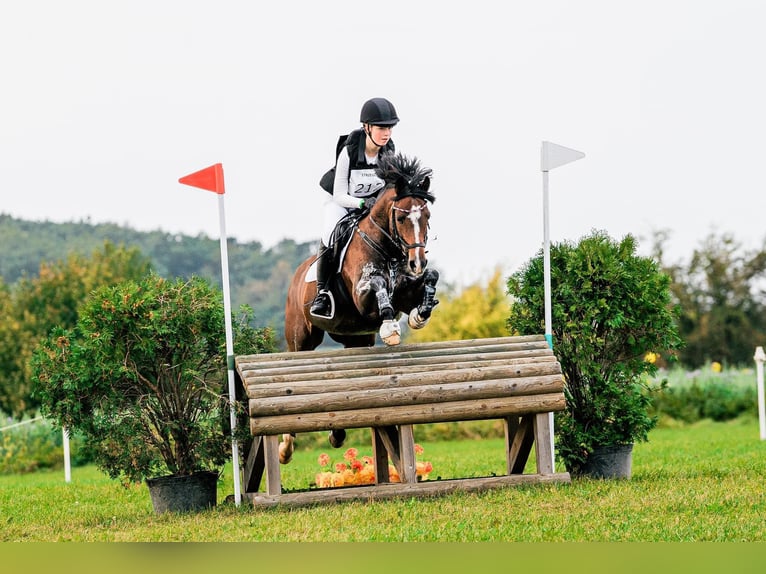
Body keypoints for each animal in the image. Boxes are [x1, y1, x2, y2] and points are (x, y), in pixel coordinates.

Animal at [280, 154, 438, 468]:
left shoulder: (404, 291)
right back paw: (286, 448)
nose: (416, 262)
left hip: (355, 339)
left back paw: (337, 434)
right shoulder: (363, 297)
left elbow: (431, 278)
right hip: (301, 339)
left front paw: (421, 313)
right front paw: (390, 329)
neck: (386, 248)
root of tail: (297, 275)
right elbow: (378, 286)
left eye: (426, 216)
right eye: (401, 218)